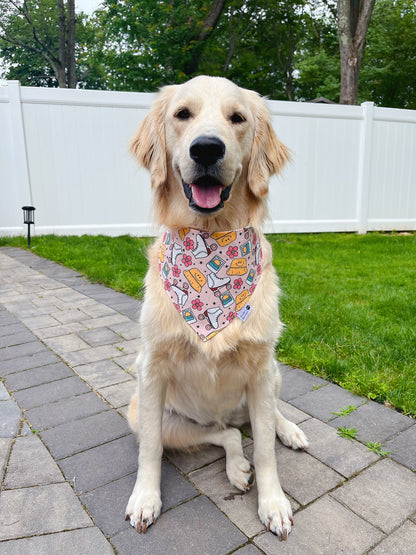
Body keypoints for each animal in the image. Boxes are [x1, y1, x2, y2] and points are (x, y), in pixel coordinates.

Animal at [125, 76, 308, 540]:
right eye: (182, 114)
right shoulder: (151, 371)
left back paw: (289, 431)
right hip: (158, 415)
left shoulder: (260, 370)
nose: (206, 149)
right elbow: (149, 451)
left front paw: (273, 503)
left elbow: (266, 451)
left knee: (263, 421)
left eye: (237, 118)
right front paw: (145, 498)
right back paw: (236, 465)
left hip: (273, 375)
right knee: (225, 434)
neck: (211, 244)